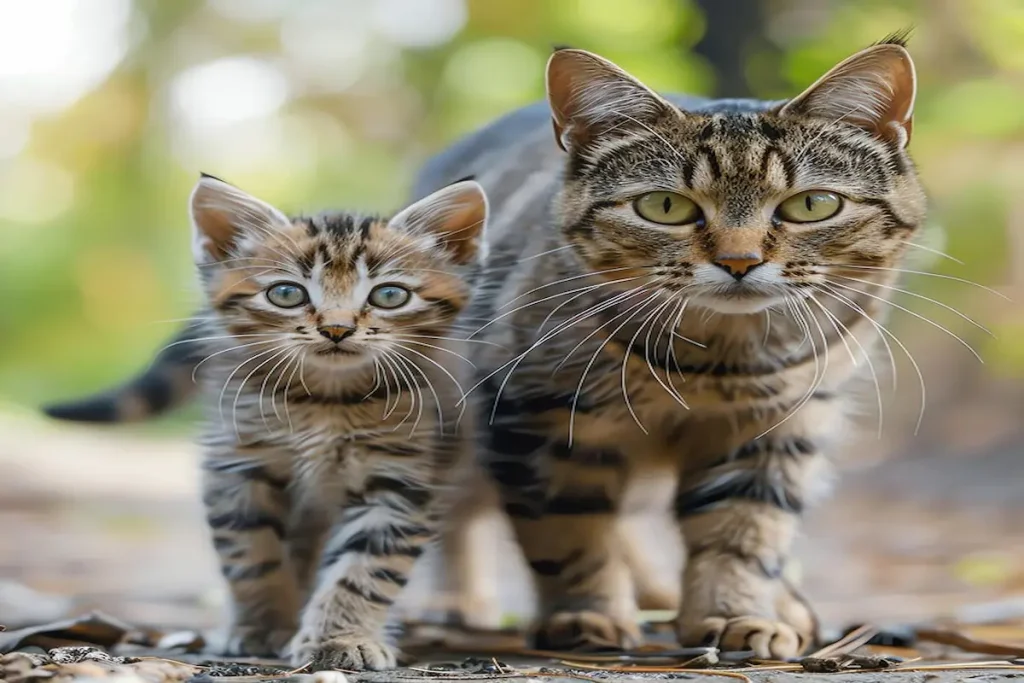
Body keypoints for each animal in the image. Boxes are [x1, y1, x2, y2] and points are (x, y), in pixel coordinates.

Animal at [146, 174, 489, 671]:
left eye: (390, 295)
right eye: (287, 293)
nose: (337, 329)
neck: (326, 400)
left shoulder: (402, 479)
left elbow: (364, 569)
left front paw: (341, 637)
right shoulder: (238, 464)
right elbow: (251, 554)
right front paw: (262, 625)